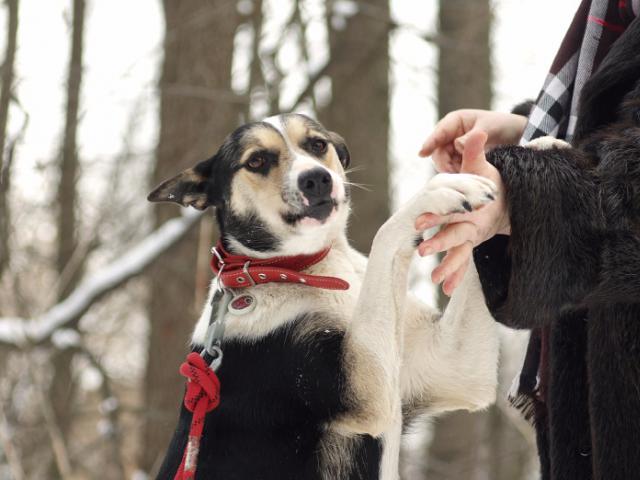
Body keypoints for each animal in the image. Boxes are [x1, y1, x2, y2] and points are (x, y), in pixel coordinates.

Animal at [149, 113, 500, 480]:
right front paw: (437, 192)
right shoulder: (363, 385)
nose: (316, 179)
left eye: (317, 144)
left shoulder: (452, 367)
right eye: (256, 160)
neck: (296, 268)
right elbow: (385, 233)